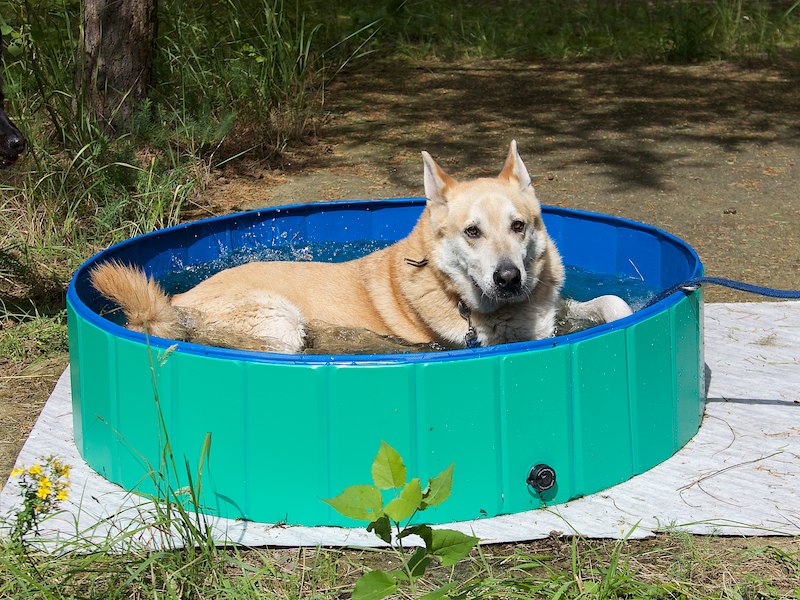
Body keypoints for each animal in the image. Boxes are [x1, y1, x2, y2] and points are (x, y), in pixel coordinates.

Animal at [91, 141, 631, 353]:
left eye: (518, 226)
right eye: (472, 232)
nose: (508, 278)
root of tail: (173, 302)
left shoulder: (554, 310)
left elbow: (611, 303)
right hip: (281, 321)